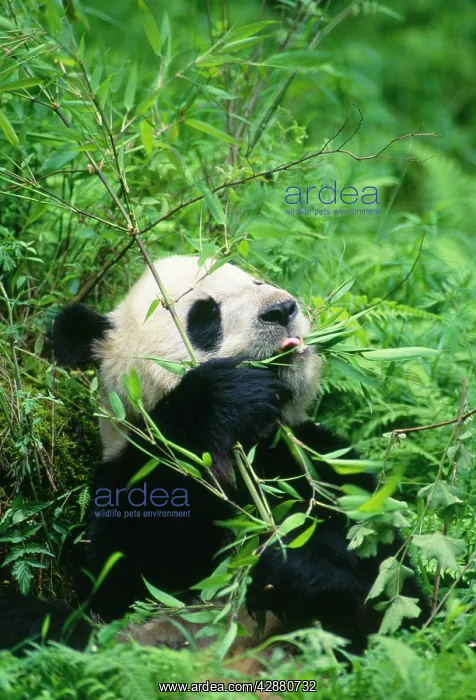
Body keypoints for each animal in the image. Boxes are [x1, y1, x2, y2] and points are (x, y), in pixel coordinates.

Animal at [0, 254, 427, 654]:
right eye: (204, 315)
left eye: (258, 282)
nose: (283, 309)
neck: (246, 450)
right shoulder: (130, 474)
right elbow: (125, 573)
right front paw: (224, 394)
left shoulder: (317, 463)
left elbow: (391, 591)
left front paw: (287, 564)